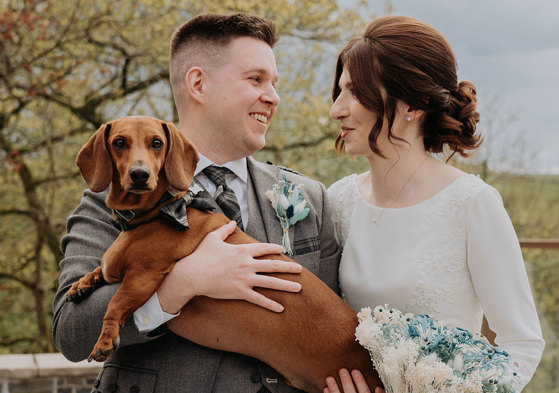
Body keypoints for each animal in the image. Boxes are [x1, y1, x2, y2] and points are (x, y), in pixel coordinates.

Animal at [65, 115, 380, 392]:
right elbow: (99, 270)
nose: (139, 175)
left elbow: (115, 303)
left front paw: (105, 339)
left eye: (156, 143)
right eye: (119, 142)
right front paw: (82, 284)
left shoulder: (144, 275)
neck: (159, 213)